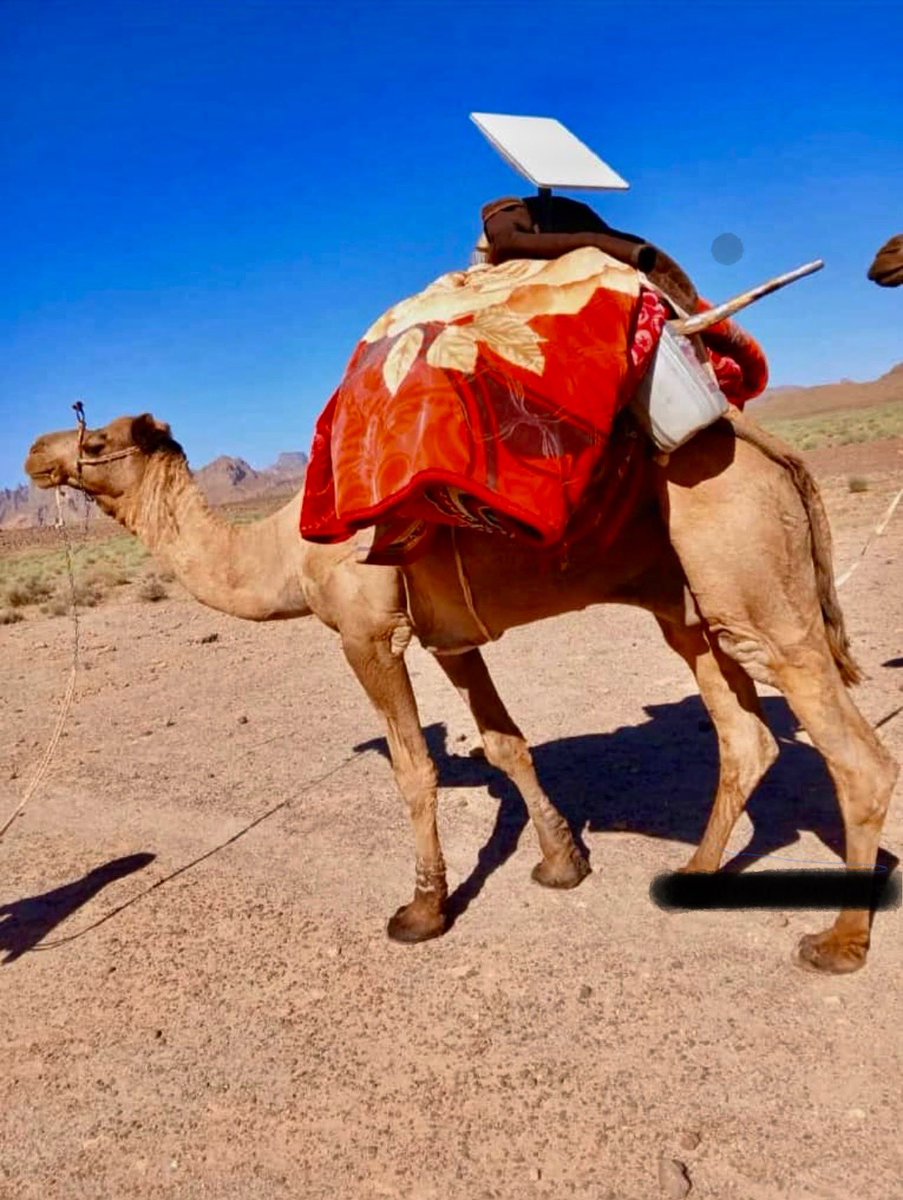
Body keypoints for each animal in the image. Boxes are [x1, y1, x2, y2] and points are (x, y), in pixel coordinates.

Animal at [25, 403, 898, 975]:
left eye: (94, 438)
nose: (34, 454)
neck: (280, 555)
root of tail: (771, 448)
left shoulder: (367, 634)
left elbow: (414, 770)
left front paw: (422, 911)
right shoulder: (450, 637)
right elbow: (505, 744)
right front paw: (562, 863)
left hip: (756, 588)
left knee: (856, 756)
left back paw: (837, 943)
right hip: (690, 607)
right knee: (745, 736)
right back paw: (693, 874)